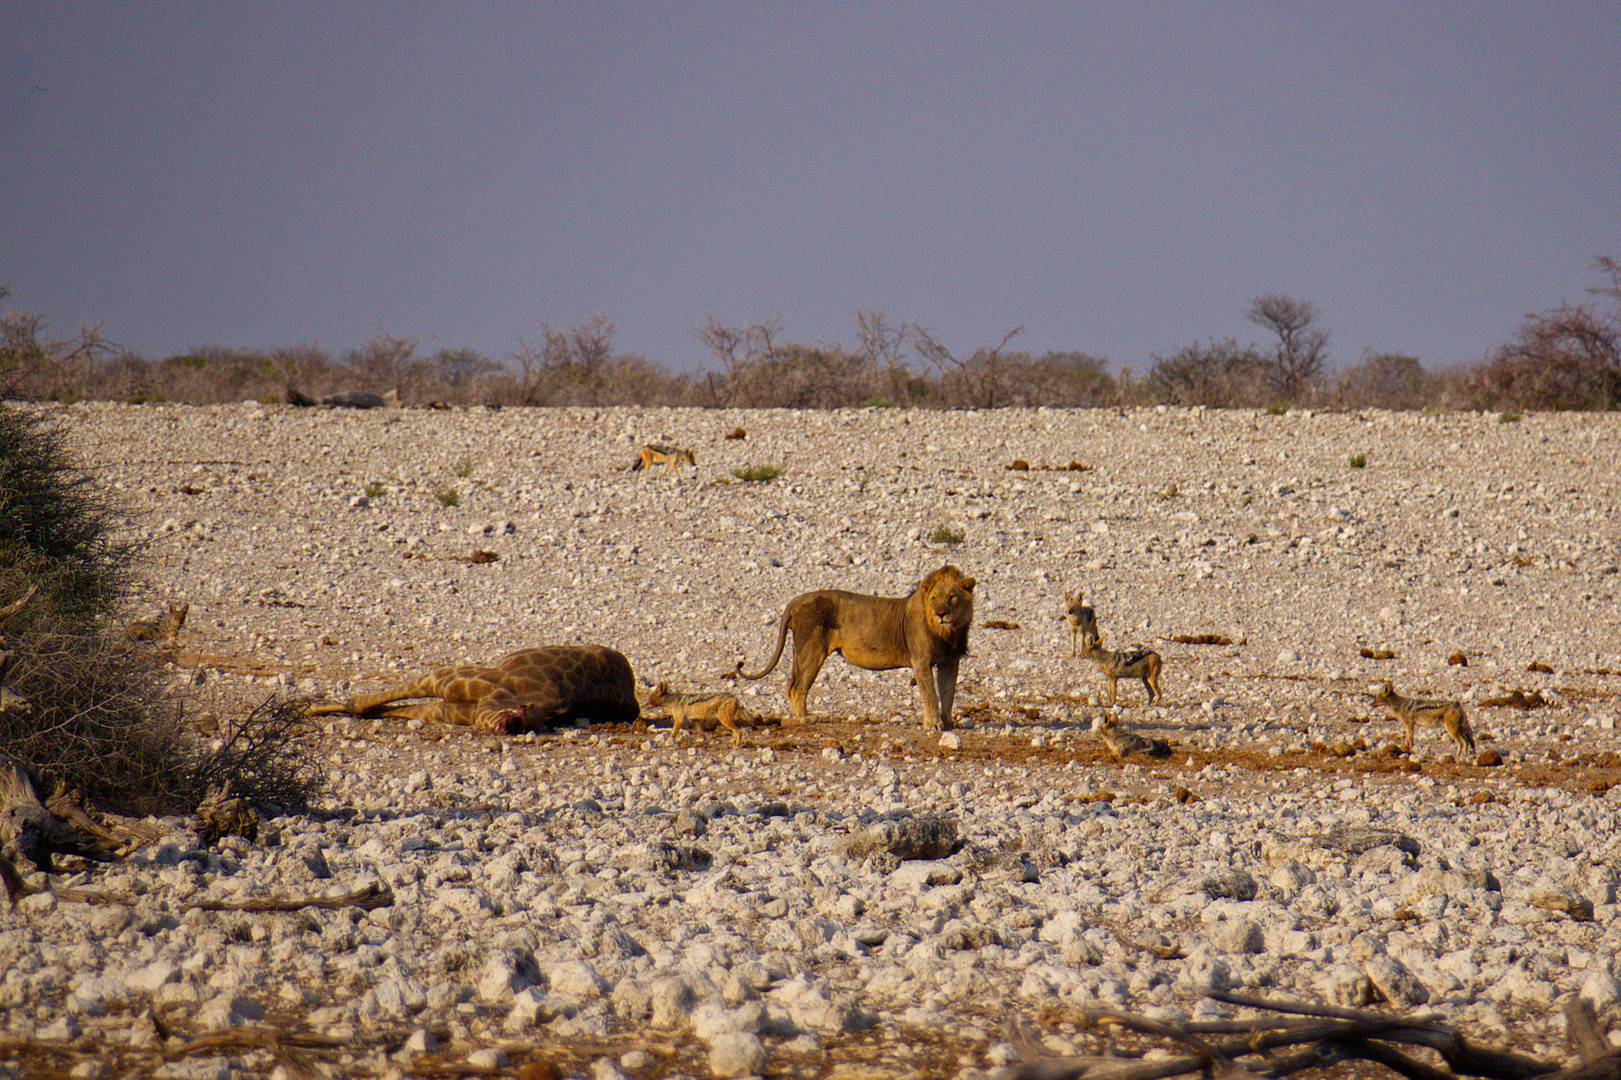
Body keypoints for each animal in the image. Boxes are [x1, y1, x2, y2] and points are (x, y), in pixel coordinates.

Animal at [735, 564, 972, 732]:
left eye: (952, 596)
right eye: (934, 598)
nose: (941, 614)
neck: (948, 633)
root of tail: (796, 600)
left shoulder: (951, 661)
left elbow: (948, 692)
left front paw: (949, 723)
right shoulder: (921, 660)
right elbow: (930, 694)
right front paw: (933, 725)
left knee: (792, 685)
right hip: (811, 650)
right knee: (796, 687)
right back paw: (805, 718)